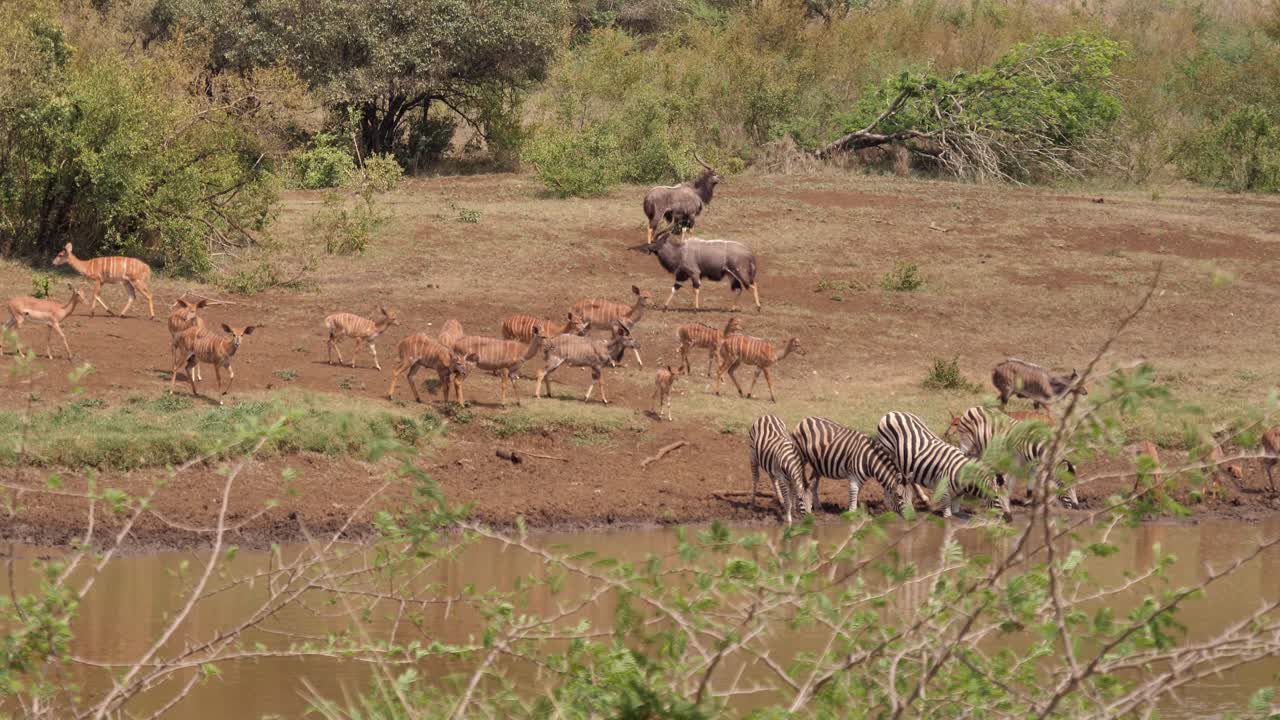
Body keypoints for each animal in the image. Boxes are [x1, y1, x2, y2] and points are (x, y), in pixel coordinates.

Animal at [876, 411, 1013, 521]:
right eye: (997, 498)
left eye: (1008, 498)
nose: (1010, 519)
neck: (961, 475)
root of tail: (893, 412)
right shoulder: (945, 495)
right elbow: (948, 518)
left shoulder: (958, 497)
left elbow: (956, 512)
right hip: (888, 450)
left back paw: (923, 498)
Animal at [944, 407, 1079, 508]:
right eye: (1064, 485)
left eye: (1074, 485)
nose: (1076, 506)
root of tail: (973, 408)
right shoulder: (1016, 460)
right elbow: (1012, 481)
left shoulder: (1030, 462)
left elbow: (1031, 478)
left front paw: (1030, 500)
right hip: (967, 443)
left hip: (978, 447)